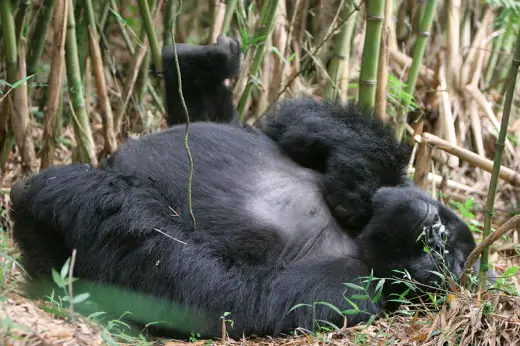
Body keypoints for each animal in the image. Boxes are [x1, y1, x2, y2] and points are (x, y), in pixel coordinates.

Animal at [9, 36, 488, 340]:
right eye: (445, 237)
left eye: (443, 256)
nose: (434, 229)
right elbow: (299, 125)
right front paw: (360, 176)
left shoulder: (351, 290)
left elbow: (217, 293)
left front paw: (78, 195)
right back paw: (199, 67)